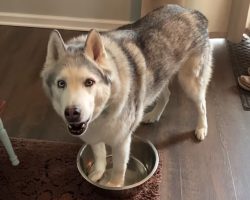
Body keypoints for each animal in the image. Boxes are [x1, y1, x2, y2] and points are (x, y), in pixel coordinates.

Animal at [41, 4, 213, 186]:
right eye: (61, 83)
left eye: (89, 82)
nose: (72, 113)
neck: (104, 110)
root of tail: (193, 12)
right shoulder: (93, 134)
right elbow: (99, 153)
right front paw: (98, 172)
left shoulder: (121, 141)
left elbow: (118, 168)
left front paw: (114, 185)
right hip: (160, 78)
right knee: (166, 95)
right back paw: (154, 115)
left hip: (190, 81)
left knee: (202, 105)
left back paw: (202, 128)